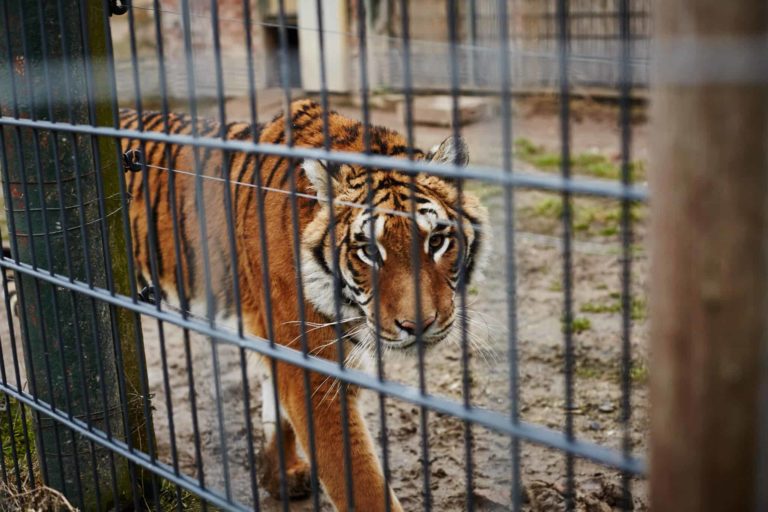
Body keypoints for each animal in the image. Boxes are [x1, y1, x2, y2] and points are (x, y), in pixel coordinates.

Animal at [120, 99, 488, 511]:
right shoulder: (312, 368)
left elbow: (276, 410)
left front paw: (280, 478)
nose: (418, 325)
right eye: (368, 250)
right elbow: (363, 486)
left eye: (437, 241)